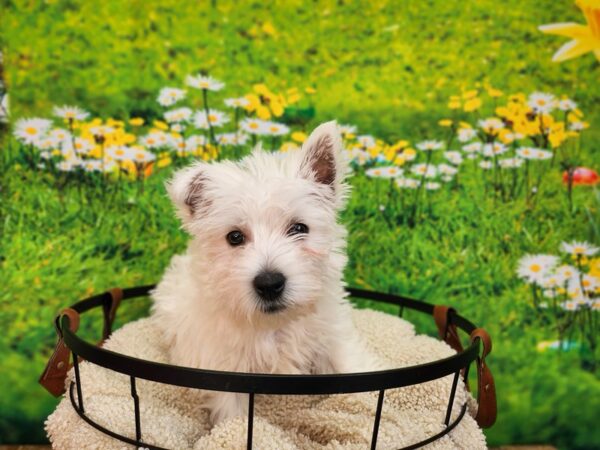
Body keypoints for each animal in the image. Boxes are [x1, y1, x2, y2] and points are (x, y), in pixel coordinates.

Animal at [152, 121, 382, 424]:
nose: (270, 283)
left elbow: (352, 368)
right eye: (234, 237)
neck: (274, 327)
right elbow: (233, 418)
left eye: (299, 228)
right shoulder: (223, 370)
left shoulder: (332, 338)